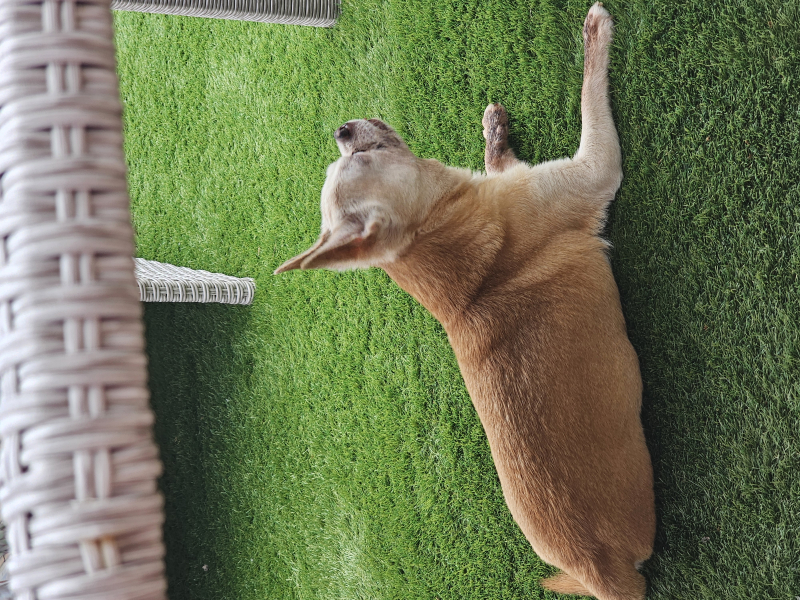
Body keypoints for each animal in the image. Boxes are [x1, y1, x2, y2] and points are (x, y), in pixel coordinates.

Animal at [275, 4, 655, 599]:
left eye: (350, 158)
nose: (341, 129)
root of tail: (600, 574)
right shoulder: (595, 167)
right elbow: (589, 93)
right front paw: (596, 34)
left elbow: (500, 156)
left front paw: (495, 132)